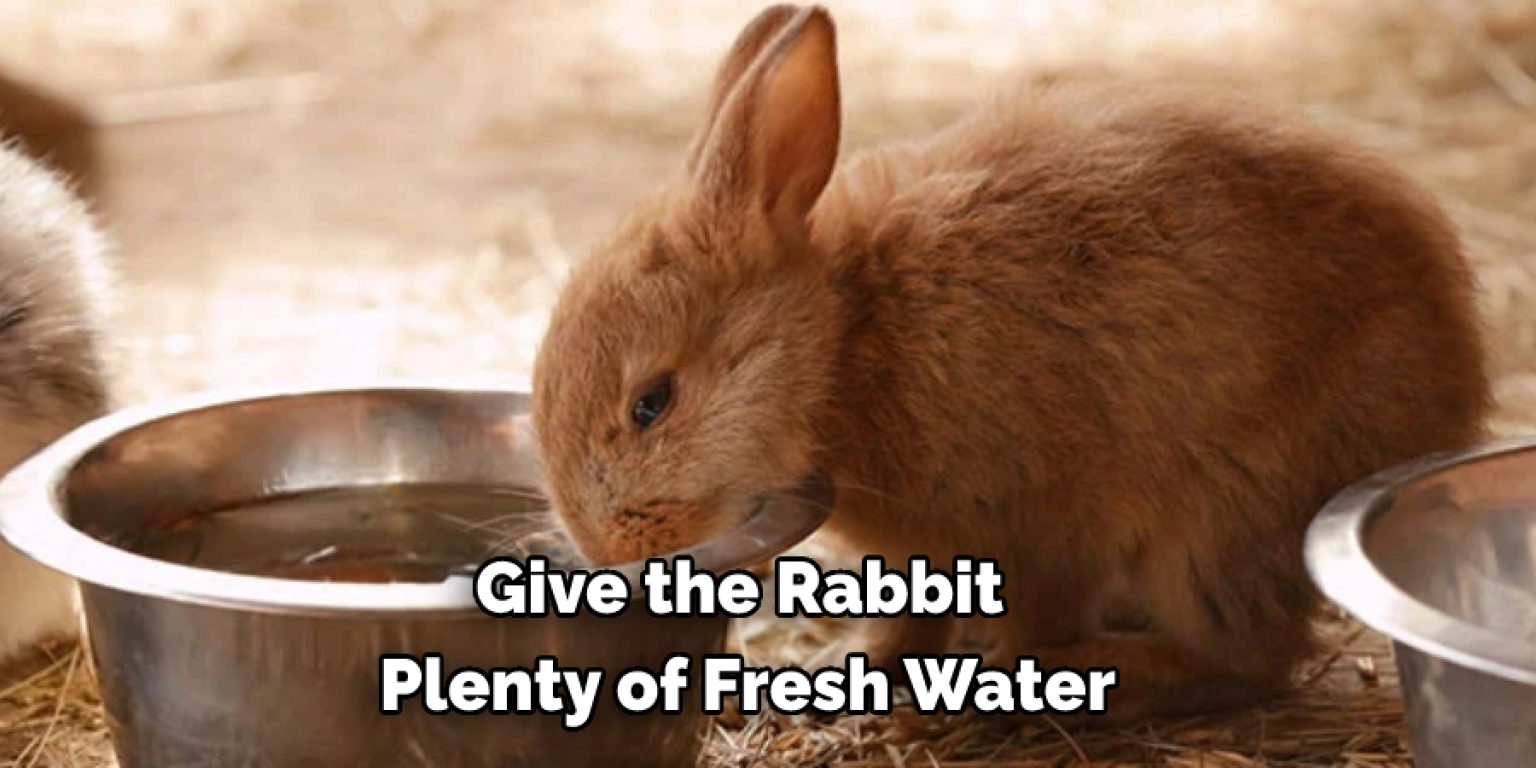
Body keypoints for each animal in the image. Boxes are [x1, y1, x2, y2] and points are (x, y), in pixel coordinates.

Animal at [530, 4, 1490, 722]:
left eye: (653, 402)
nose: (606, 550)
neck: (844, 342)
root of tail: (1452, 398)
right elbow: (913, 623)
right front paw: (869, 665)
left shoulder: (1040, 521)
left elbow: (1037, 616)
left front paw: (1005, 677)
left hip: (1217, 526)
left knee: (1252, 656)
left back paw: (1119, 674)